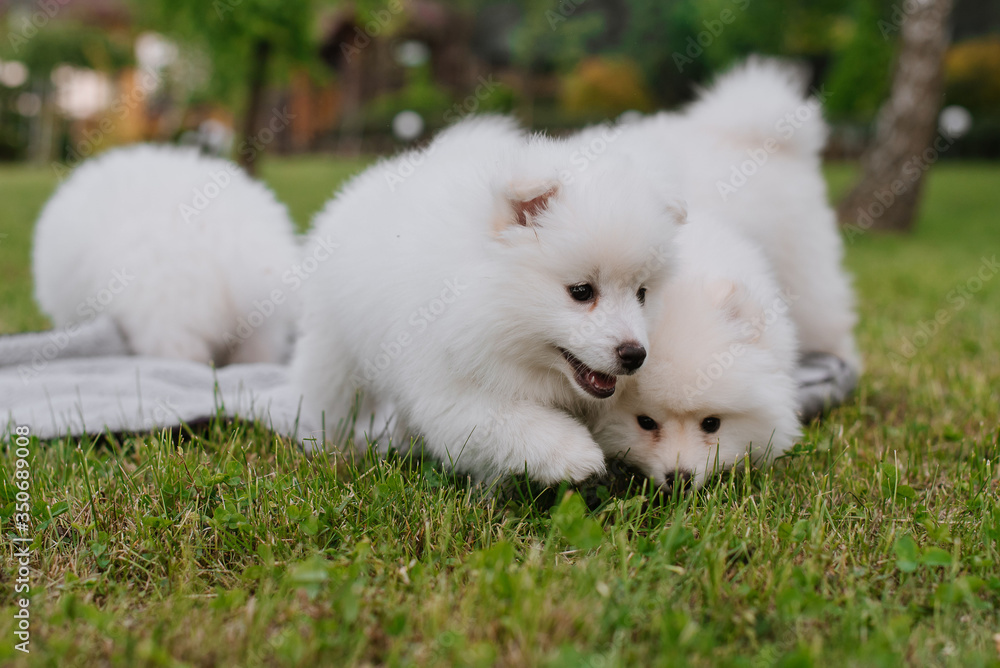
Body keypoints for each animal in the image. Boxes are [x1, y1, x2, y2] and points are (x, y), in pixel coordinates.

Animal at [292, 117, 688, 482]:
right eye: (581, 291)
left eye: (642, 293)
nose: (635, 355)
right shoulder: (449, 387)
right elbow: (509, 421)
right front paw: (575, 454)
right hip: (334, 345)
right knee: (329, 392)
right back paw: (329, 445)